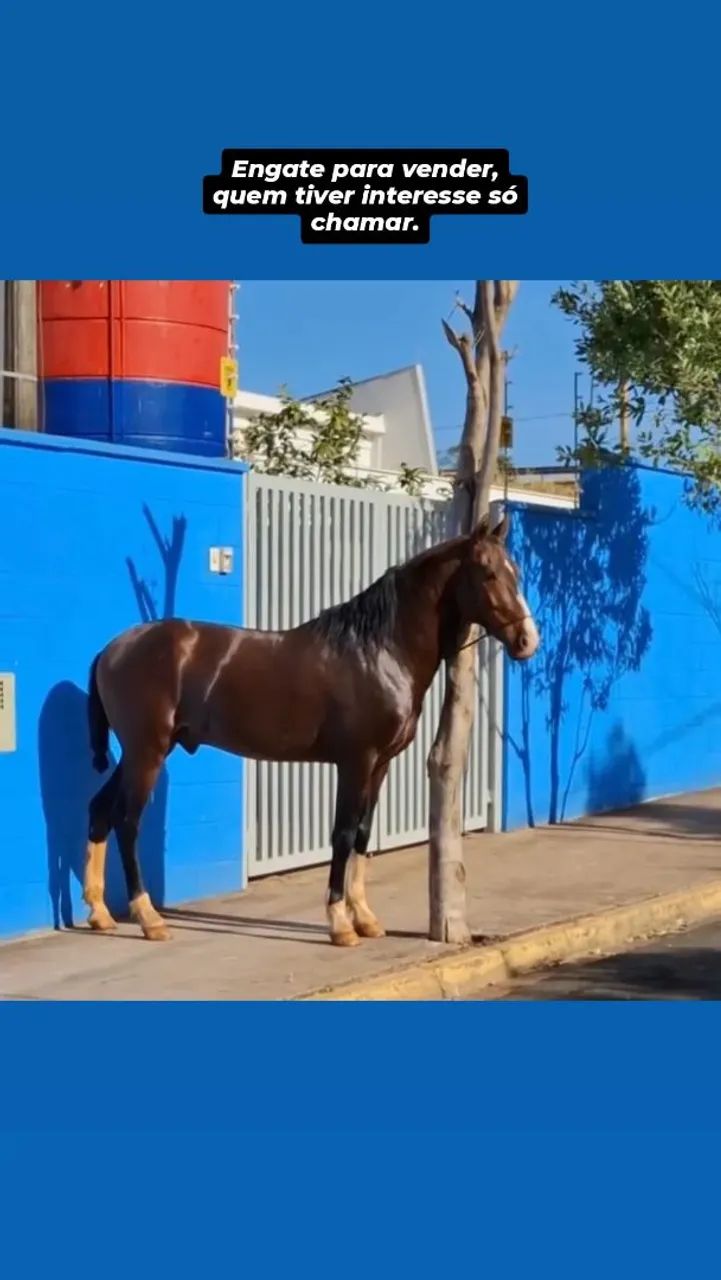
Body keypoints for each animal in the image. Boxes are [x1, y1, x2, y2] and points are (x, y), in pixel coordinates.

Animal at [82, 511, 539, 947]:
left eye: (515, 570)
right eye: (489, 572)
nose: (527, 640)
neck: (380, 650)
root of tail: (111, 649)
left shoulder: (381, 764)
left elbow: (362, 834)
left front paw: (365, 918)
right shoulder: (355, 761)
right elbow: (342, 834)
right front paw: (340, 925)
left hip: (136, 753)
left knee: (100, 810)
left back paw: (101, 913)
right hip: (148, 751)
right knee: (128, 821)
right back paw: (149, 918)